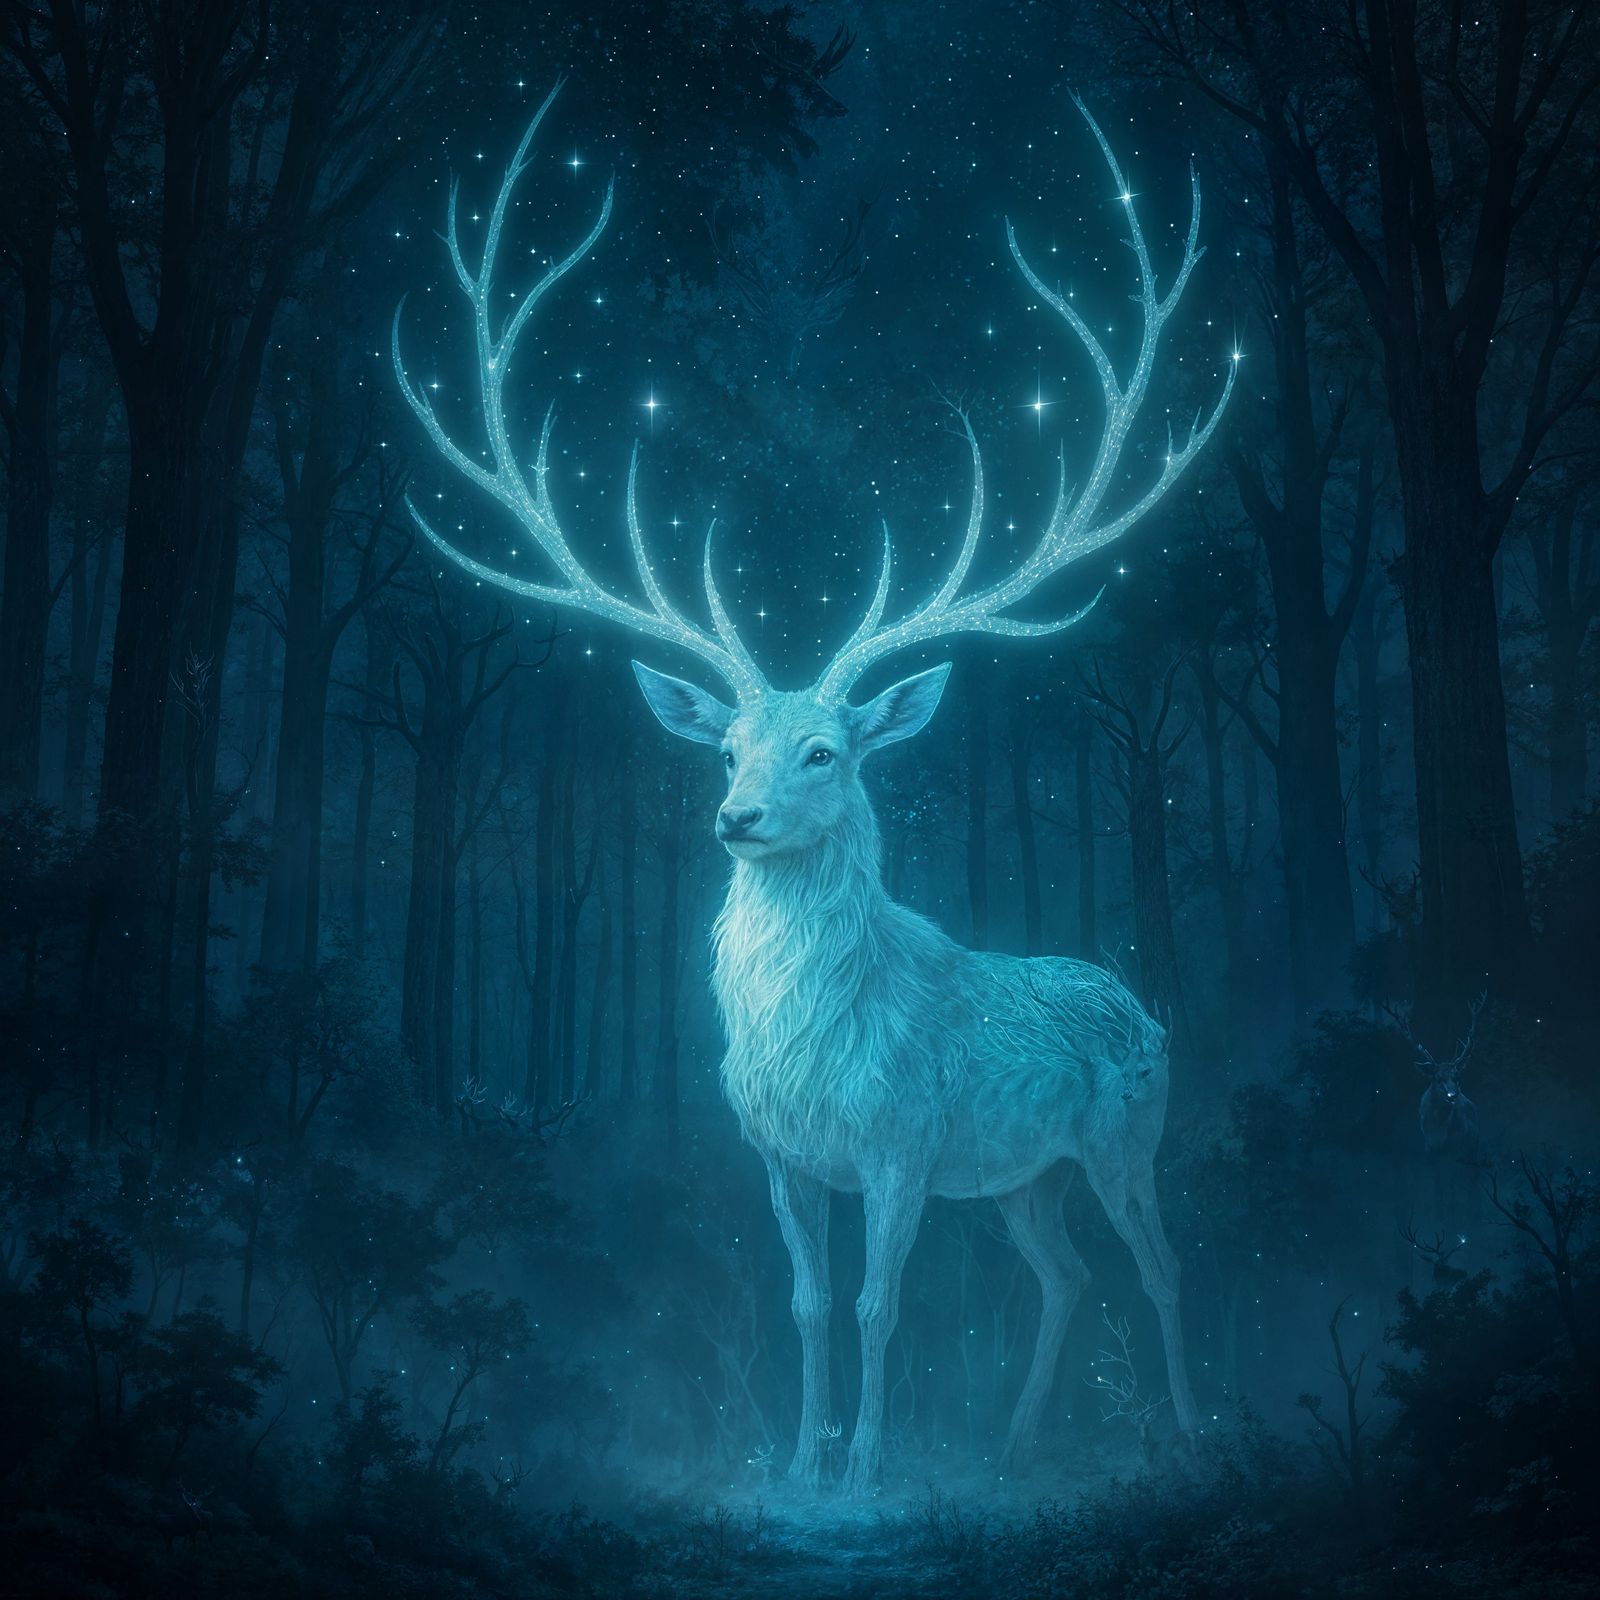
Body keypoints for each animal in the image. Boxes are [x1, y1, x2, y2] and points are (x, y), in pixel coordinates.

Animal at [393, 81, 1234, 1496]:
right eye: (724, 745)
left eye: (825, 751)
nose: (735, 817)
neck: (810, 1040)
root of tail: (1146, 1005)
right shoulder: (785, 1154)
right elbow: (800, 1303)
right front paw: (797, 1466)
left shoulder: (901, 1140)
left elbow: (879, 1303)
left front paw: (864, 1475)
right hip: (1024, 1178)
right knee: (1065, 1274)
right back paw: (1015, 1443)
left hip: (1130, 1135)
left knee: (1164, 1264)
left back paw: (1182, 1428)